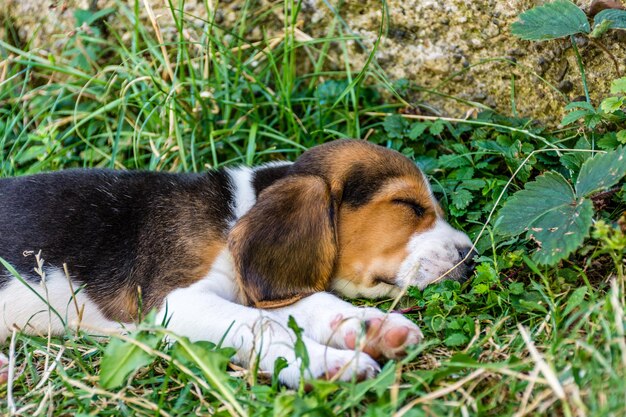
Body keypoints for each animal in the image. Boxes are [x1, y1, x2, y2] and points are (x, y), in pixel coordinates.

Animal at [0, 138, 470, 386]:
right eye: (408, 205)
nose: (471, 255)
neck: (240, 210)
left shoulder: (253, 289)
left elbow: (314, 304)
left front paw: (371, 328)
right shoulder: (176, 304)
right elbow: (262, 327)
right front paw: (328, 363)